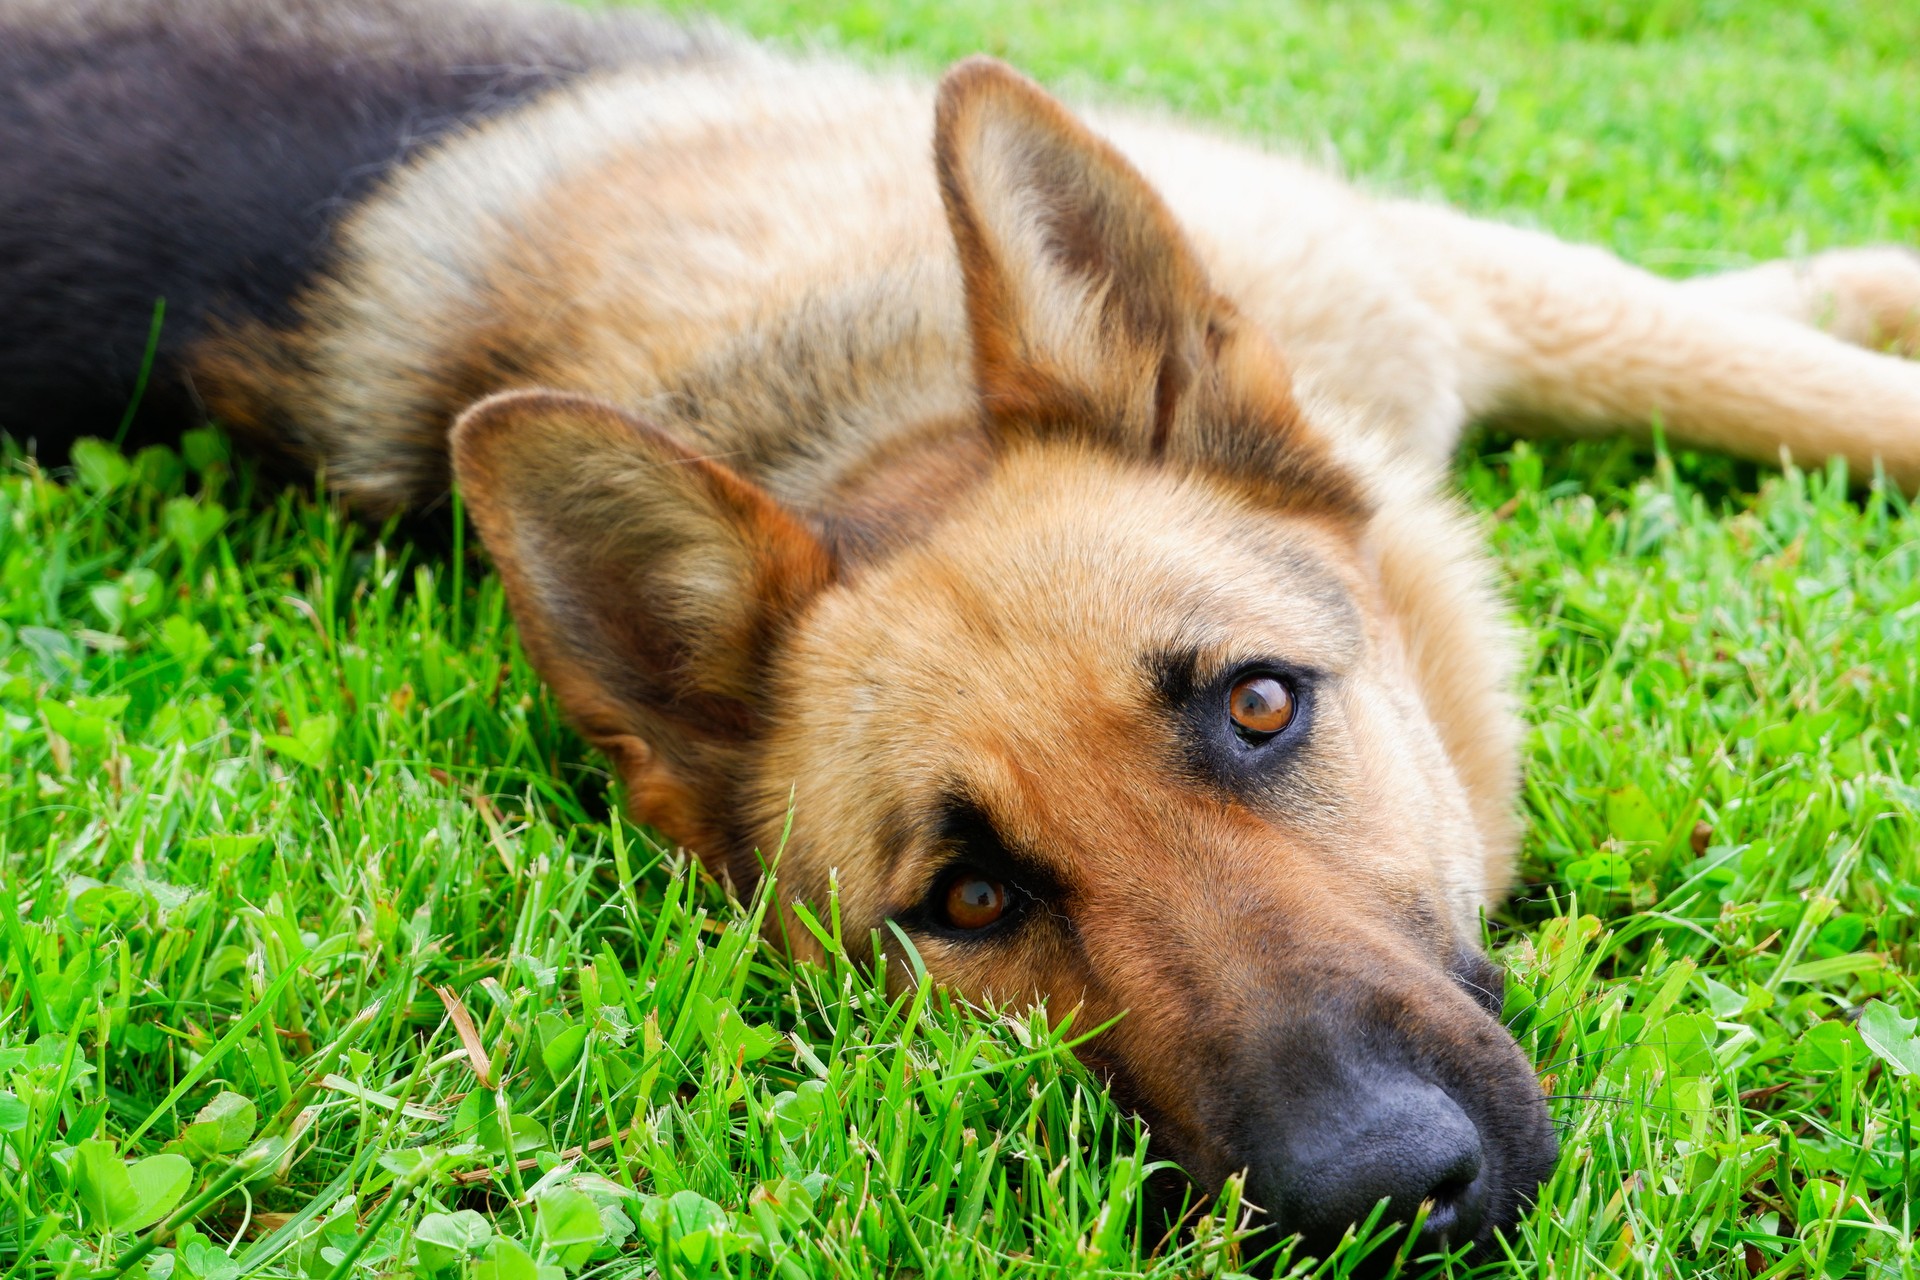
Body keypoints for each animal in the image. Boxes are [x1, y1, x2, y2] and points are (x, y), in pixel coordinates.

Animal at [11, 0, 1920, 1258]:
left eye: (1258, 708)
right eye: (972, 904)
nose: (1380, 1198)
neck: (873, 408)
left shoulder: (1441, 281)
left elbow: (1777, 361)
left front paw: (1855, 292)